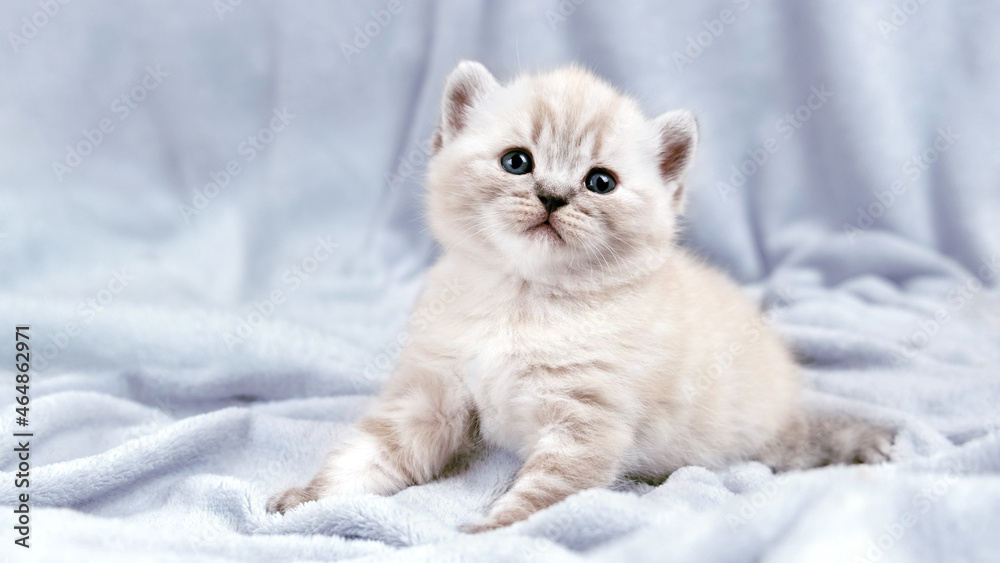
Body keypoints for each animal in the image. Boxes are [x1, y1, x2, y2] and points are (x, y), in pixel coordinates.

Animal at [266, 61, 892, 532]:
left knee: (798, 443)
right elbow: (366, 457)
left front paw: (488, 535)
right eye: (517, 161)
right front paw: (310, 499)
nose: (552, 196)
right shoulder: (430, 394)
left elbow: (539, 499)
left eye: (599, 182)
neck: (521, 299)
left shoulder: (584, 427)